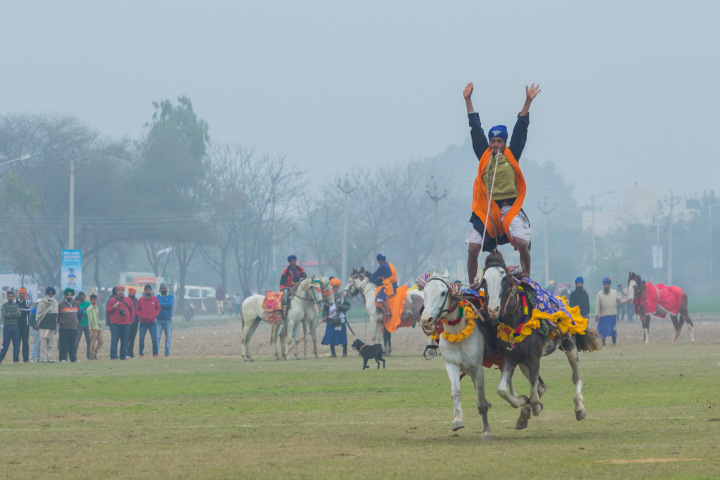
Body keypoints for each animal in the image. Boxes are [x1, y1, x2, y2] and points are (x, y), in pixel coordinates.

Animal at [420, 270, 492, 438]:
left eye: (443, 292)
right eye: (424, 292)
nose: (426, 320)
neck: (457, 331)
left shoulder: (477, 367)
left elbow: (481, 395)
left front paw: (486, 430)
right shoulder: (451, 364)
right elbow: (456, 392)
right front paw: (457, 420)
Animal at [484, 249, 600, 430]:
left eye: (504, 278)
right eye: (484, 280)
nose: (493, 309)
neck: (517, 319)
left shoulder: (533, 358)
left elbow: (534, 396)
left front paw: (534, 407)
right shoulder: (512, 357)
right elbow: (503, 390)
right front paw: (522, 402)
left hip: (570, 346)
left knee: (577, 376)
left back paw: (579, 408)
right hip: (523, 362)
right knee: (541, 386)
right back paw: (524, 413)